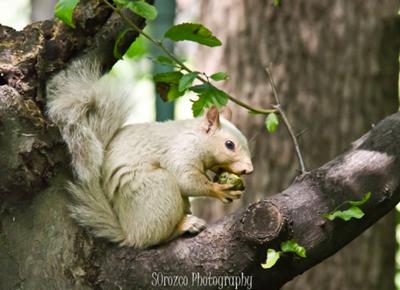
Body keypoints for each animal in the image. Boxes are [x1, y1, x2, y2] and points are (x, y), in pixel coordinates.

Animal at [46, 57, 253, 248]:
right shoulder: (181, 151)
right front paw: (218, 189)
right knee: (157, 237)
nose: (248, 170)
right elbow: (186, 180)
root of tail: (129, 234)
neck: (195, 136)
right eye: (229, 144)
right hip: (159, 189)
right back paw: (184, 225)